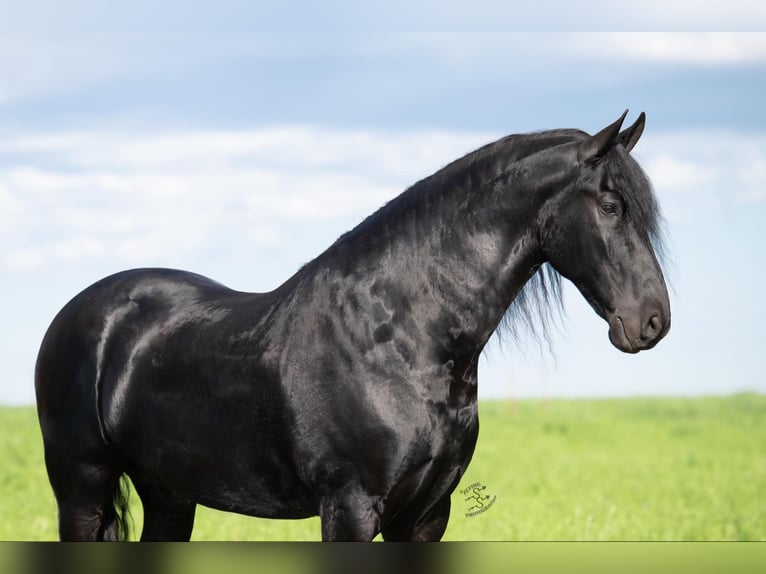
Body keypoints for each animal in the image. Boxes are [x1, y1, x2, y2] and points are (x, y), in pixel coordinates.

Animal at [35, 111, 670, 541]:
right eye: (611, 207)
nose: (653, 322)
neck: (397, 337)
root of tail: (78, 314)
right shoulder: (351, 506)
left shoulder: (426, 514)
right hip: (81, 488)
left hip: (168, 493)